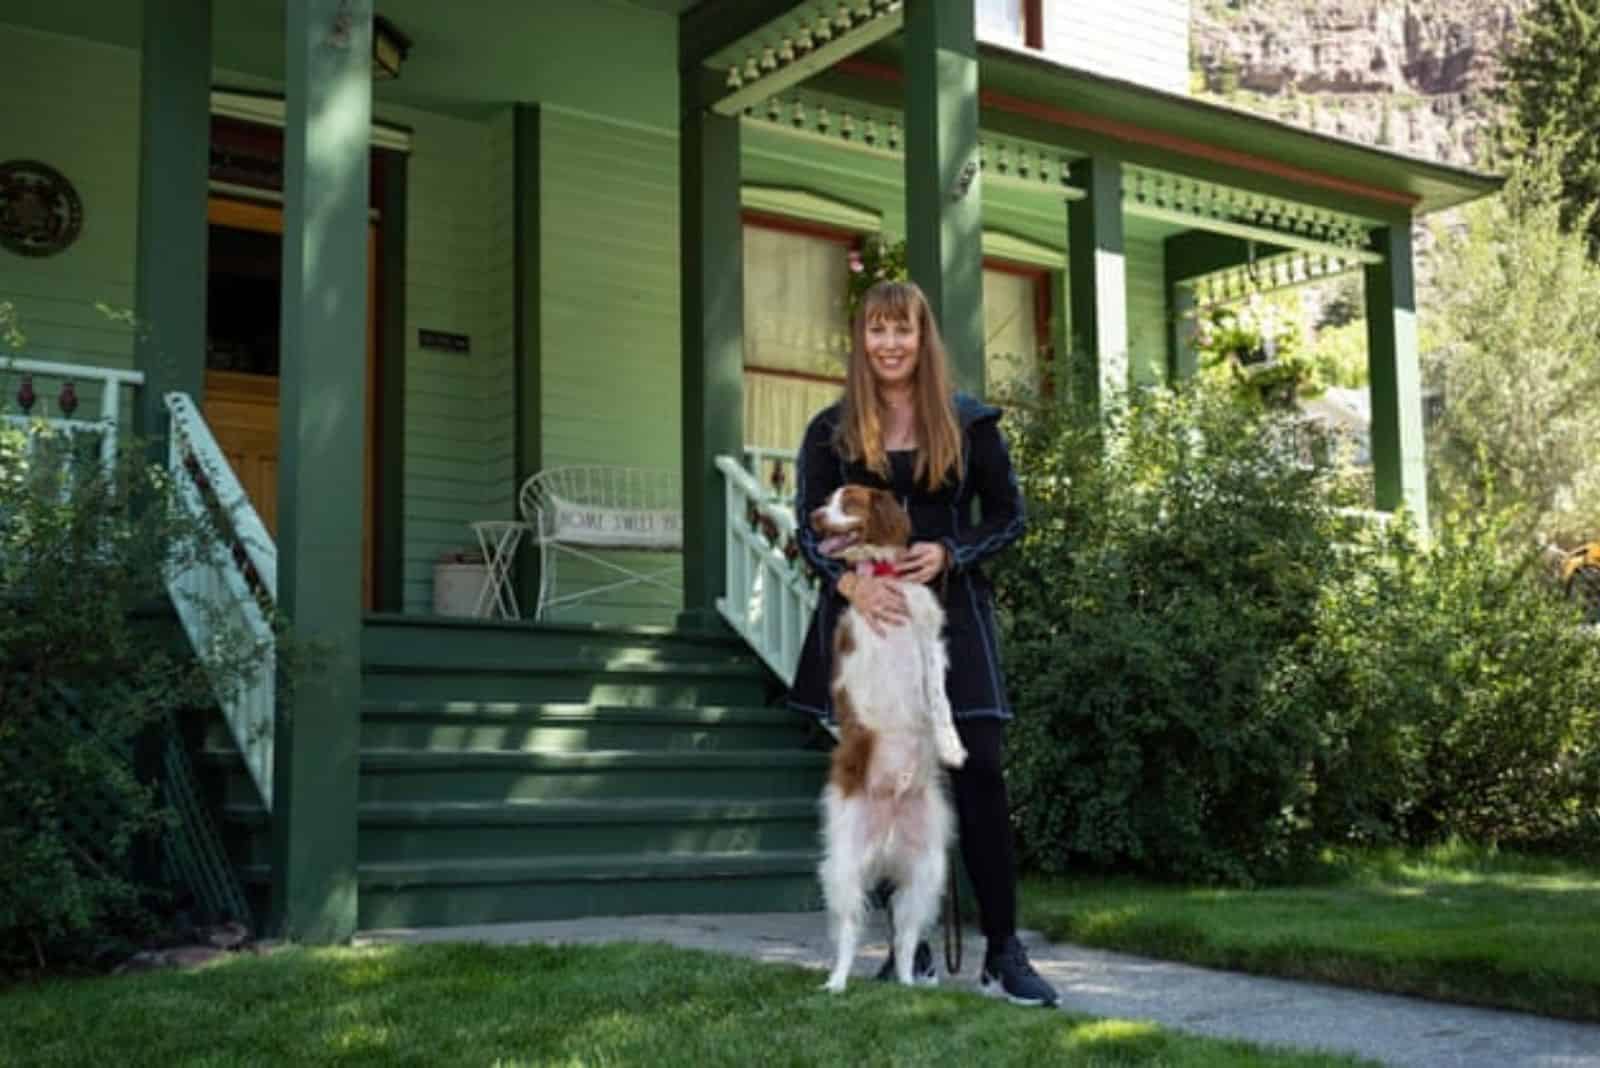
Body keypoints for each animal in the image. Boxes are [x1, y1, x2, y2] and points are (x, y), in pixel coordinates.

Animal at [812, 482, 960, 991]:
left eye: (848, 503)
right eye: (825, 501)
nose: (812, 517)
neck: (881, 571)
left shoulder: (928, 643)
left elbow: (939, 700)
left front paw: (952, 746)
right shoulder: (860, 649)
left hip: (927, 872)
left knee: (908, 936)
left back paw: (910, 986)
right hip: (844, 868)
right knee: (849, 931)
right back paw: (837, 982)